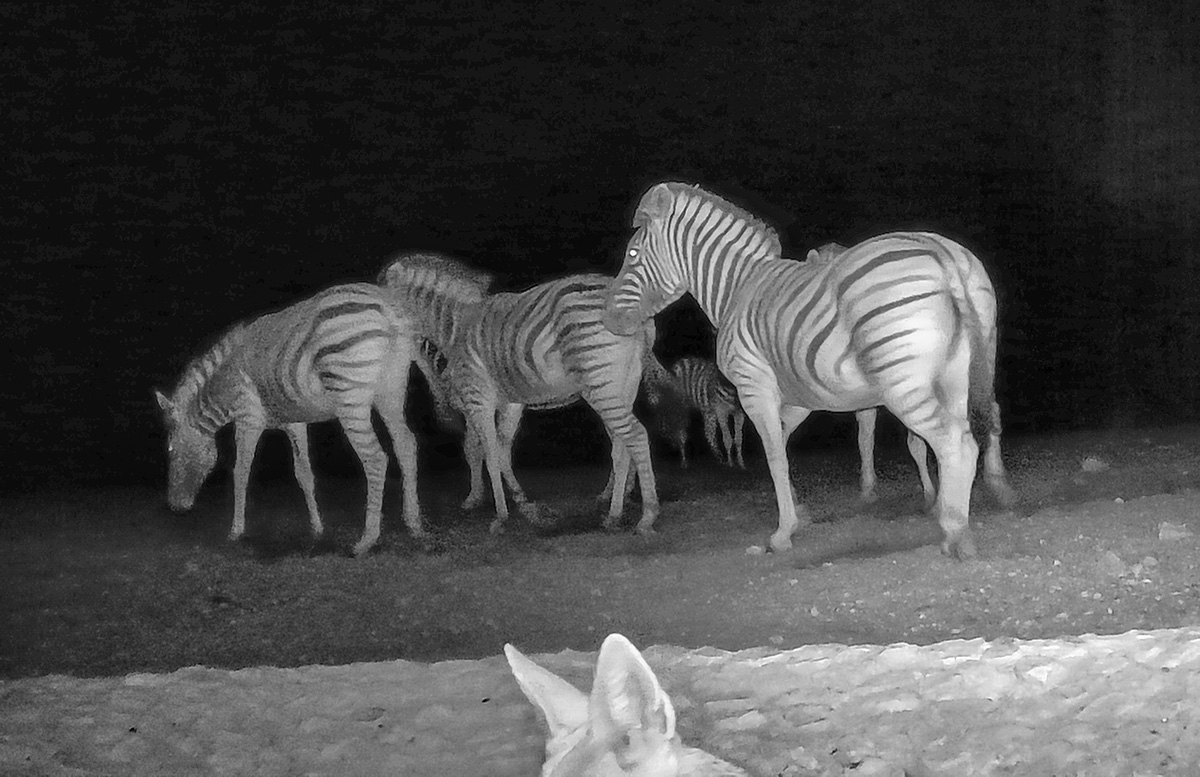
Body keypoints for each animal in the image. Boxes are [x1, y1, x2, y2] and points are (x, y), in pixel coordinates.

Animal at [154, 283, 427, 556]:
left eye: (171, 449)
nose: (175, 507)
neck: (223, 384)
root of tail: (387, 304)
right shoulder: (295, 422)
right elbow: (304, 474)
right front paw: (317, 528)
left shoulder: (248, 417)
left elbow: (240, 472)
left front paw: (236, 531)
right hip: (390, 392)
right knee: (406, 445)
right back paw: (414, 524)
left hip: (350, 397)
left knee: (376, 459)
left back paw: (367, 540)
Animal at [378, 252, 662, 534]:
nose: (442, 410)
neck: (456, 328)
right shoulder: (508, 403)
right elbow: (499, 450)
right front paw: (520, 502)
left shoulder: (476, 398)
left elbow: (486, 452)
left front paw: (497, 513)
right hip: (621, 384)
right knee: (622, 445)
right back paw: (614, 512)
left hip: (601, 383)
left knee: (635, 436)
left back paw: (646, 515)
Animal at [603, 182, 1015, 558]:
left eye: (633, 254)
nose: (610, 322)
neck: (738, 289)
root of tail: (943, 252)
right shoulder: (797, 397)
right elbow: (783, 448)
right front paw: (799, 511)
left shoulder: (755, 388)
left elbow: (774, 456)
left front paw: (783, 532)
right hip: (957, 375)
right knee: (971, 431)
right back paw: (960, 516)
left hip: (904, 382)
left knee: (955, 442)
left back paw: (956, 532)